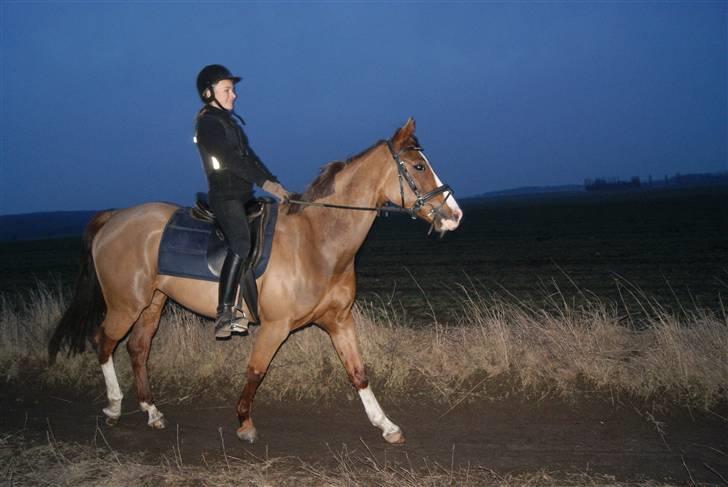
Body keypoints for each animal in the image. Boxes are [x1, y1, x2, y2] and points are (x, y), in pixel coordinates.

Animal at [48, 118, 462, 444]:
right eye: (419, 165)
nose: (454, 215)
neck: (317, 241)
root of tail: (115, 217)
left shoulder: (338, 321)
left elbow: (358, 373)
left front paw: (387, 426)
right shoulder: (276, 326)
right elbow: (256, 371)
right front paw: (244, 423)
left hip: (153, 303)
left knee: (137, 348)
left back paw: (152, 412)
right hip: (125, 303)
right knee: (103, 342)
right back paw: (114, 407)